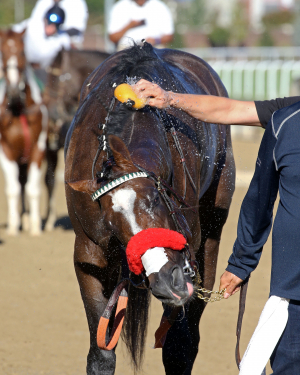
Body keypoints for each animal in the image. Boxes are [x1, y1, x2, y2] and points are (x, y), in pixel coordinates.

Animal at [64, 42, 236, 374]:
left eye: (155, 199)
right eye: (109, 220)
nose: (167, 280)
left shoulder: (189, 252)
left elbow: (179, 347)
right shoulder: (89, 252)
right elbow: (101, 353)